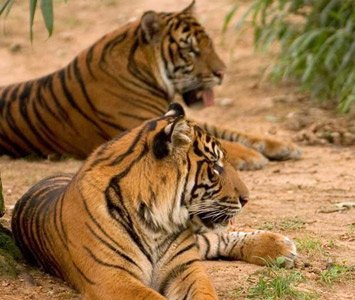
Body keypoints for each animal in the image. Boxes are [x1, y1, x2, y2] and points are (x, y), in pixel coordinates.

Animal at [0, 0, 304, 169]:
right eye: (191, 50)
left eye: (210, 44)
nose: (222, 73)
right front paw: (252, 157)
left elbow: (229, 131)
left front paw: (281, 145)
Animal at [11, 103, 298, 300]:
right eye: (215, 167)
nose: (246, 198)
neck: (155, 221)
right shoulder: (110, 276)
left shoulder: (184, 267)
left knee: (213, 239)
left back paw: (281, 247)